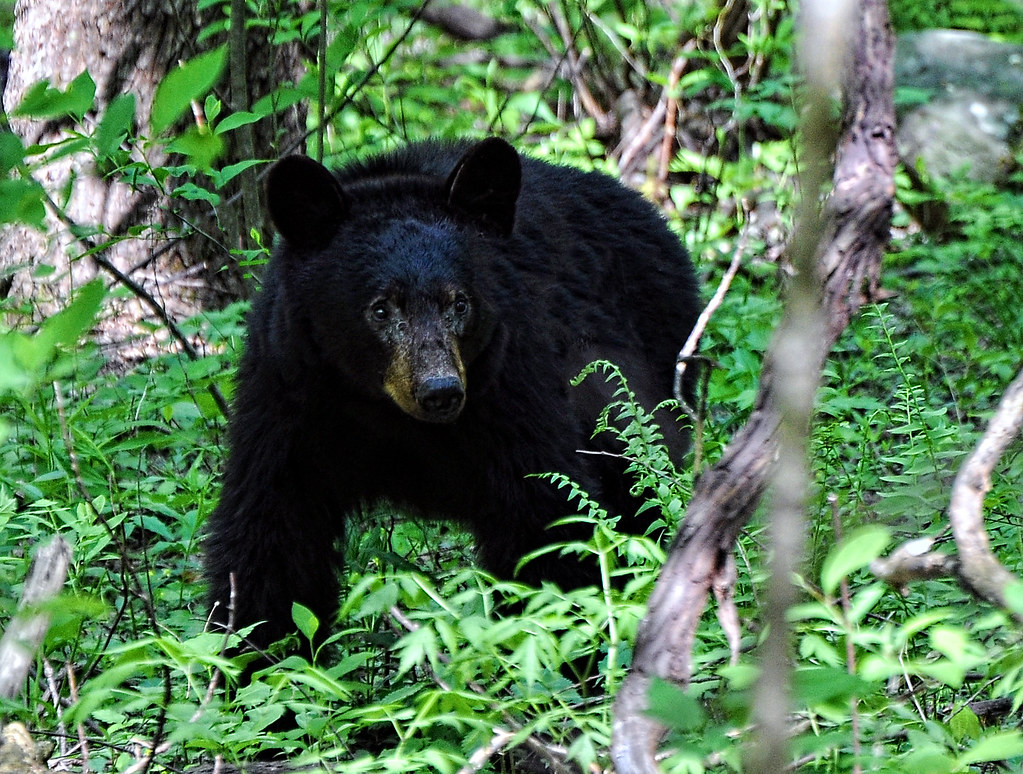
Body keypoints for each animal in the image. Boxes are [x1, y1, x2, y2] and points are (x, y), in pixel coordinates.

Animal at [203, 136, 701, 661]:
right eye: (380, 309)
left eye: (459, 302)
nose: (440, 391)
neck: (388, 414)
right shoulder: (291, 393)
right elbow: (273, 531)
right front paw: (257, 660)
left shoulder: (512, 383)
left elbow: (545, 517)